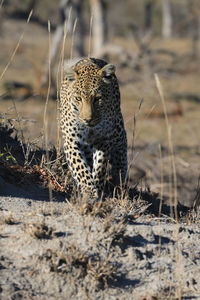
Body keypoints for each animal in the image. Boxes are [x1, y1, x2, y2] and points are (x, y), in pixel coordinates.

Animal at [59, 57, 128, 200]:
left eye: (97, 98)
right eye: (78, 98)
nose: (88, 119)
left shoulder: (104, 139)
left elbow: (100, 166)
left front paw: (98, 186)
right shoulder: (71, 140)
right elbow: (80, 166)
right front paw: (89, 191)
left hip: (117, 129)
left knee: (121, 147)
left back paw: (119, 179)